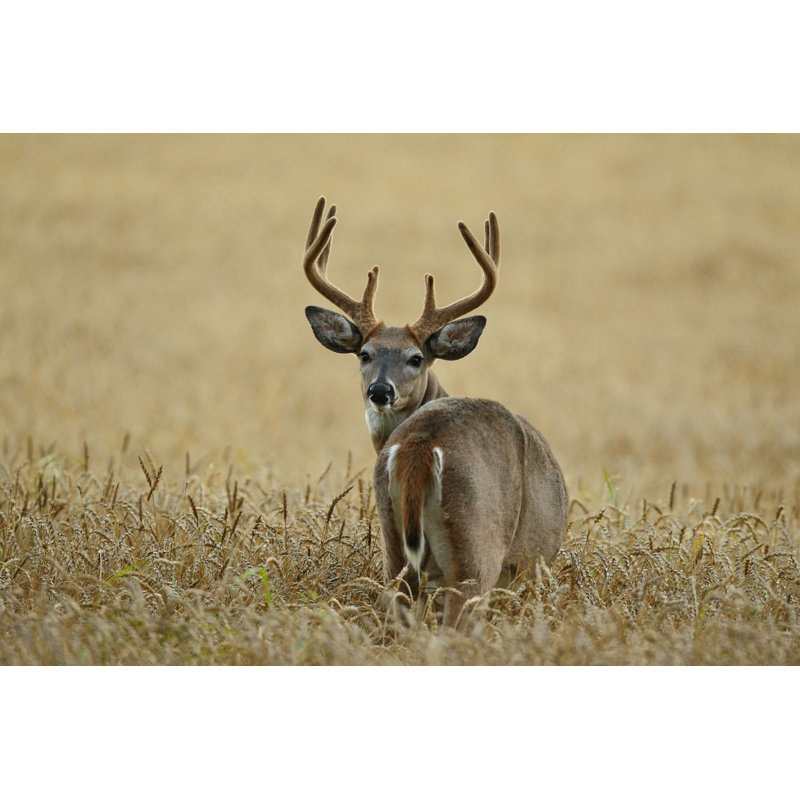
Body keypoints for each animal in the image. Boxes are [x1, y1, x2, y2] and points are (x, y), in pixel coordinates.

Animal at [302, 197, 568, 628]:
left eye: (416, 358)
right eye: (364, 354)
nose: (380, 391)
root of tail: (422, 446)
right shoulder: (526, 569)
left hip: (395, 549)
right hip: (475, 551)